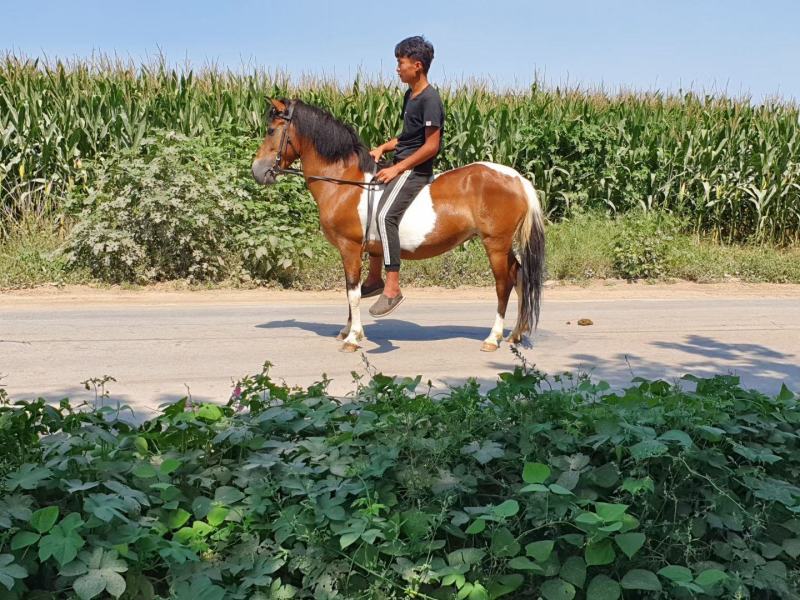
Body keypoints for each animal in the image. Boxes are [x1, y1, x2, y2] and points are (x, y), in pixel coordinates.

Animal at [252, 98, 545, 353]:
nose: (257, 171)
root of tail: (517, 178)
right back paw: (515, 334)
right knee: (520, 276)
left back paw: (493, 338)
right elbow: (351, 291)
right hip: (504, 245)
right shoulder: (359, 249)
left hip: (495, 243)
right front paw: (348, 330)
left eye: (271, 130)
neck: (345, 183)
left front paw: (353, 338)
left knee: (503, 285)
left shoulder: (349, 247)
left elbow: (352, 292)